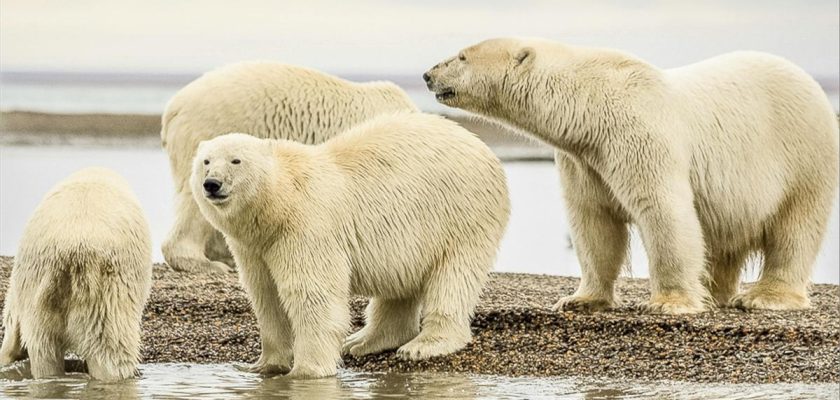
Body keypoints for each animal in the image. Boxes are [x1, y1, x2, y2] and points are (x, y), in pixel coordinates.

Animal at [192, 113, 512, 378]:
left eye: (236, 160)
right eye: (206, 161)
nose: (212, 183)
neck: (279, 203)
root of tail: (480, 145)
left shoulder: (306, 227)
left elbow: (312, 294)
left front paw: (307, 370)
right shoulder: (254, 246)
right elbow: (266, 295)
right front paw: (264, 365)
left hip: (460, 214)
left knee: (453, 276)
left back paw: (423, 345)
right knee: (399, 284)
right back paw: (363, 341)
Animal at [426, 37, 840, 312]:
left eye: (461, 56)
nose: (429, 74)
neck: (590, 104)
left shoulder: (638, 135)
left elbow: (663, 210)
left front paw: (668, 303)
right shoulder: (584, 159)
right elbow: (594, 222)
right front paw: (580, 299)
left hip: (803, 154)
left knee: (795, 227)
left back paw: (764, 296)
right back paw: (714, 290)